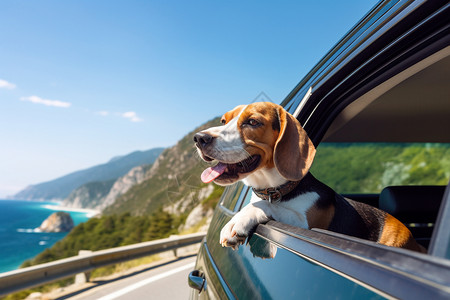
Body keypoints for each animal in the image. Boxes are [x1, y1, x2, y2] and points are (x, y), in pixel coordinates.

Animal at [194, 102, 426, 252]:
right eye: (224, 120)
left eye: (252, 122)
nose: (199, 138)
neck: (277, 191)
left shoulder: (305, 224)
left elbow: (263, 205)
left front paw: (237, 222)